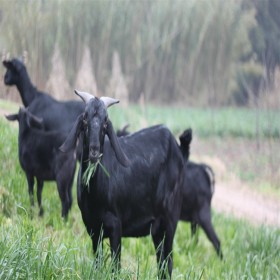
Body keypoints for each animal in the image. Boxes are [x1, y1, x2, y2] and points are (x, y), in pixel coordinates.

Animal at [60, 90, 185, 278]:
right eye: (85, 119)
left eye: (105, 122)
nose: (94, 151)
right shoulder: (93, 228)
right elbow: (98, 263)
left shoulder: (115, 226)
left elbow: (115, 266)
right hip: (157, 229)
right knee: (161, 262)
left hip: (170, 220)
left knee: (168, 262)